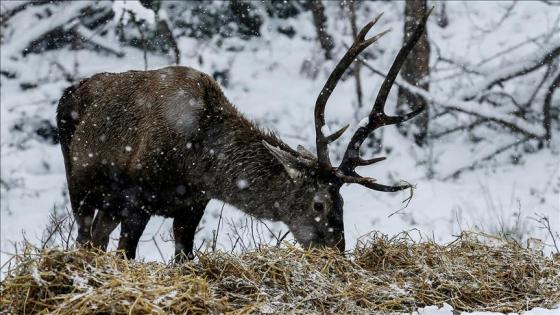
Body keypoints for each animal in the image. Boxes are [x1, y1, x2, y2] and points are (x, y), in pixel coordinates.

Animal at [57, 11, 430, 262]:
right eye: (319, 203)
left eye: (343, 203)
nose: (337, 251)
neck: (194, 163)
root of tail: (68, 93)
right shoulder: (138, 197)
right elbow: (126, 255)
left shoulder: (193, 204)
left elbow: (183, 259)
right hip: (80, 181)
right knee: (84, 235)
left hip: (108, 202)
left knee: (96, 237)